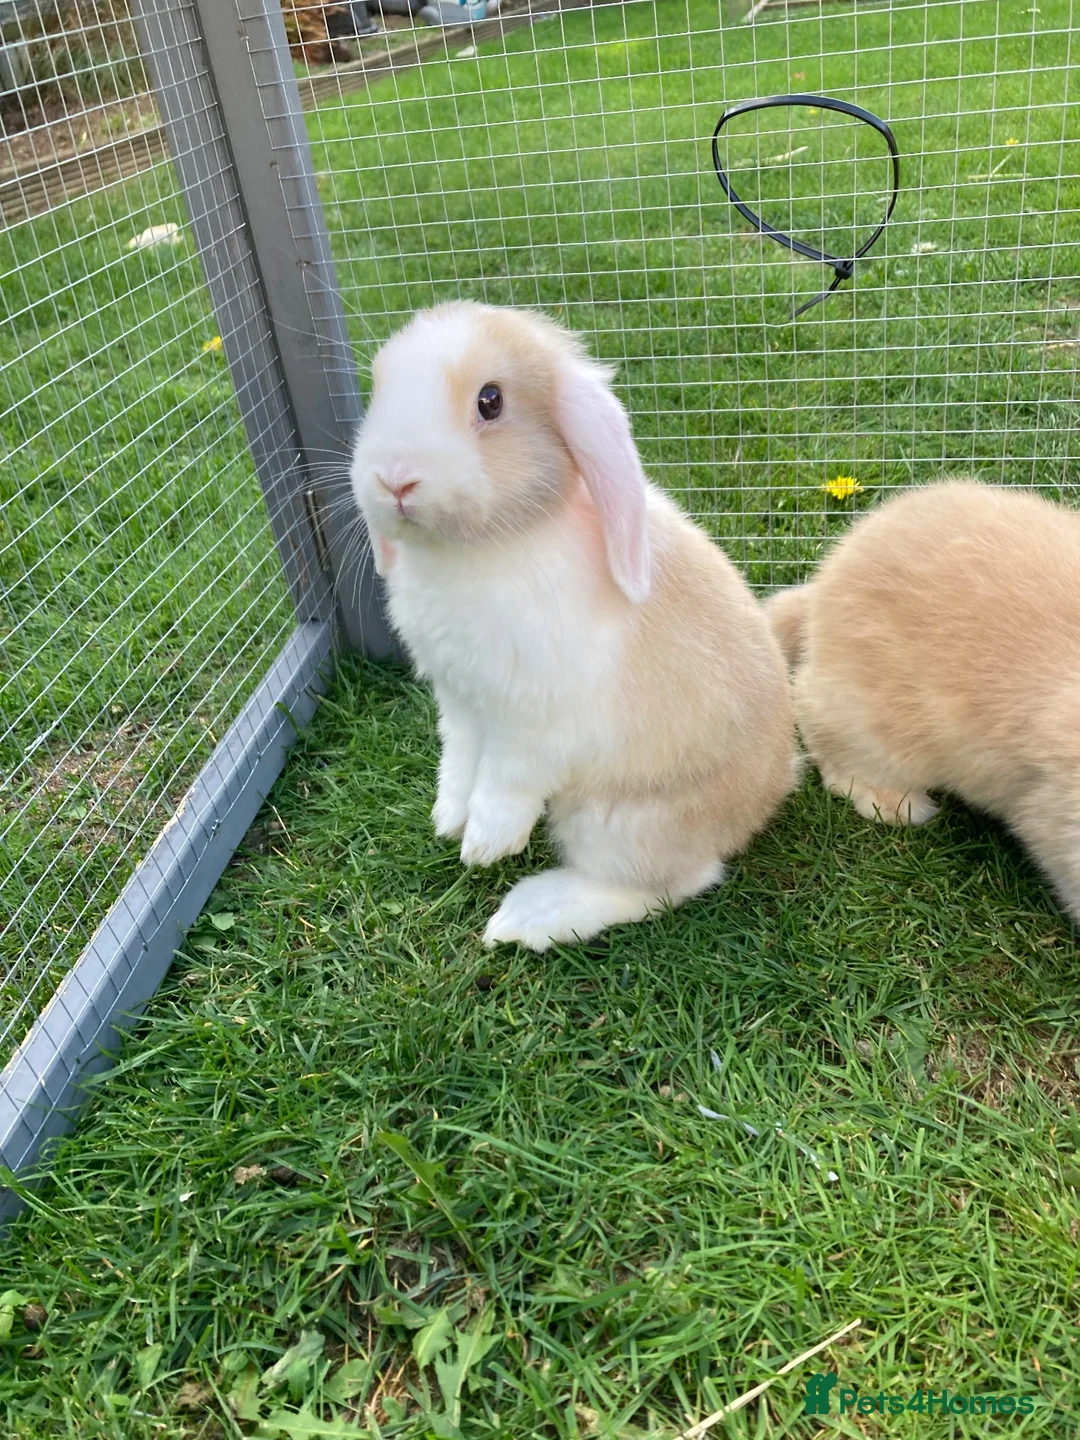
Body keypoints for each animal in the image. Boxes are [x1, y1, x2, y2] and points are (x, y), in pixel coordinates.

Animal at [349, 301, 796, 950]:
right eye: (378, 387)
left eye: (490, 401)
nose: (394, 478)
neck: (481, 548)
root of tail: (768, 798)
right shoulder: (460, 705)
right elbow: (459, 762)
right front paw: (448, 818)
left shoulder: (534, 722)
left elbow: (506, 782)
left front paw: (485, 844)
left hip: (619, 819)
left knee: (668, 884)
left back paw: (531, 916)